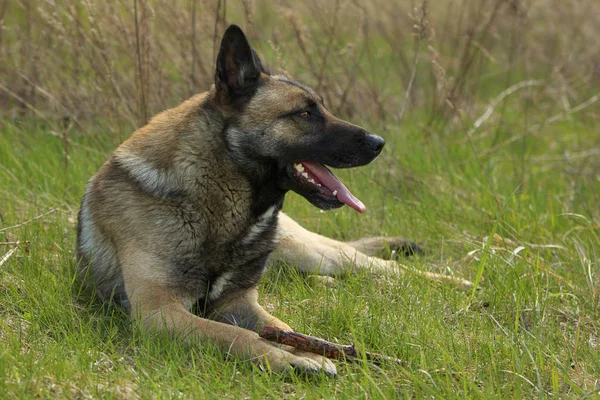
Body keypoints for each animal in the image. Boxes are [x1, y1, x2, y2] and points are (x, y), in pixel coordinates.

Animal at [76, 25, 468, 378]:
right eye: (305, 114)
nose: (379, 142)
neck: (223, 203)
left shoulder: (238, 301)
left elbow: (281, 327)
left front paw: (301, 351)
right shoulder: (160, 311)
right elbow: (234, 335)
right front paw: (289, 358)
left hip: (315, 252)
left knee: (387, 268)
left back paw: (463, 284)